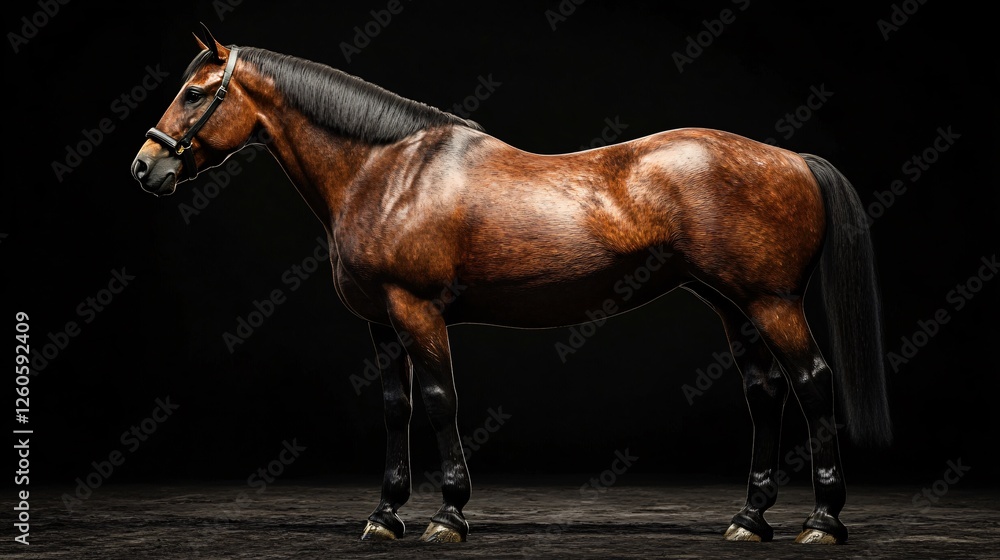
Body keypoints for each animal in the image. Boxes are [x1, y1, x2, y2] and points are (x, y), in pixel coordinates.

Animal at [131, 25, 891, 545]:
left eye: (195, 93)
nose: (143, 167)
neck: (388, 171)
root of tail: (792, 157)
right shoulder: (381, 324)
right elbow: (396, 410)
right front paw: (385, 514)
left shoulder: (417, 311)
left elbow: (439, 401)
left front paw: (448, 515)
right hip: (734, 307)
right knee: (765, 396)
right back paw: (749, 518)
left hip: (772, 303)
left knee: (812, 383)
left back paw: (822, 521)